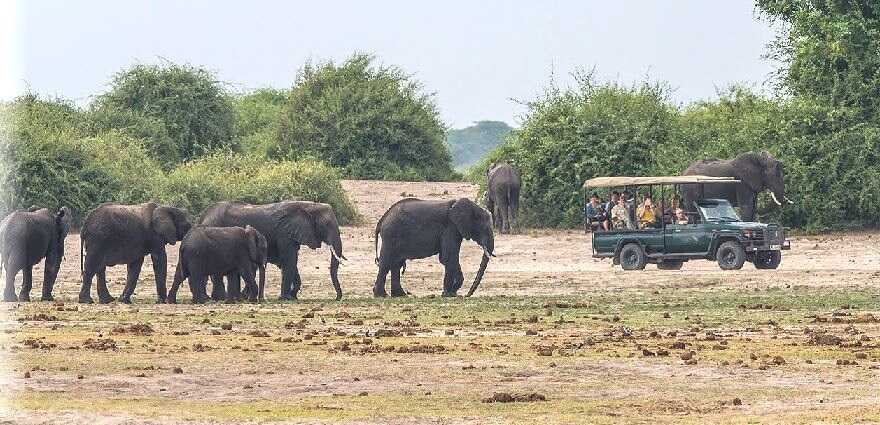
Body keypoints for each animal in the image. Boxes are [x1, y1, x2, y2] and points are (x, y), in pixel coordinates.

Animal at [201, 200, 346, 300]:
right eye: (326, 225)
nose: (337, 298)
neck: (307, 205)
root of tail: (204, 217)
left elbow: (290, 263)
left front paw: (293, 296)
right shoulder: (284, 233)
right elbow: (289, 261)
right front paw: (285, 298)